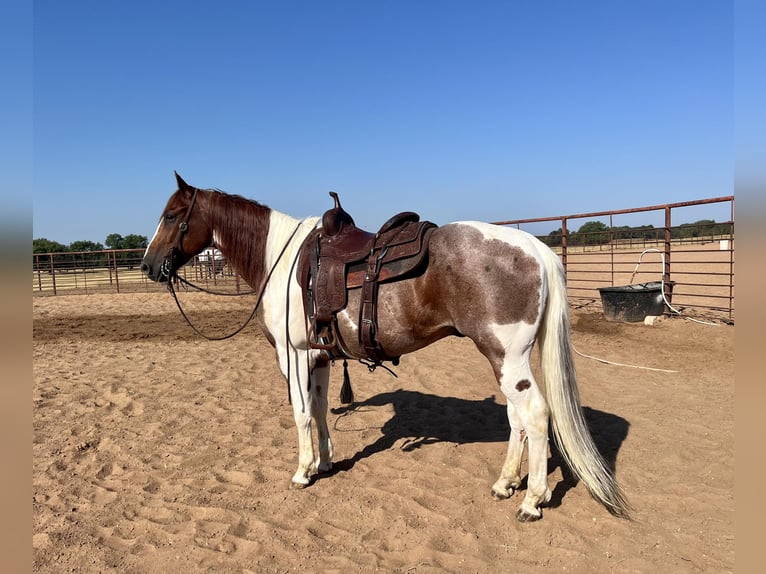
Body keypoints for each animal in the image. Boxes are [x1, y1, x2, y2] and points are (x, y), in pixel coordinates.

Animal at [142, 173, 632, 524]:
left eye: (171, 215)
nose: (149, 265)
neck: (282, 260)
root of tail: (534, 246)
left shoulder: (293, 355)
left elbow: (300, 413)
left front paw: (302, 471)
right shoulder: (319, 357)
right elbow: (319, 409)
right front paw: (324, 462)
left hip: (506, 357)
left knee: (534, 415)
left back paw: (531, 500)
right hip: (504, 358)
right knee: (518, 418)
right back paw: (506, 482)